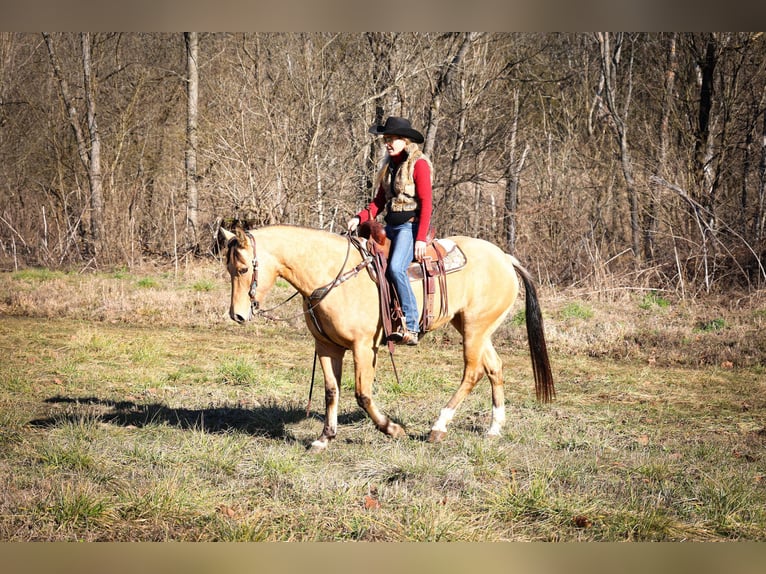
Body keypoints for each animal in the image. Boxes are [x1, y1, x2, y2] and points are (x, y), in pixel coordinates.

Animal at [219, 225, 556, 454]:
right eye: (229, 268)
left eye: (244, 268)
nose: (237, 315)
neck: (330, 275)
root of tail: (505, 257)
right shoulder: (327, 347)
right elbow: (331, 391)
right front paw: (324, 438)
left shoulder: (363, 347)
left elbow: (362, 394)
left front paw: (392, 429)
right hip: (474, 327)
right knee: (494, 368)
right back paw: (494, 429)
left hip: (475, 328)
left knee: (472, 373)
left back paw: (438, 427)